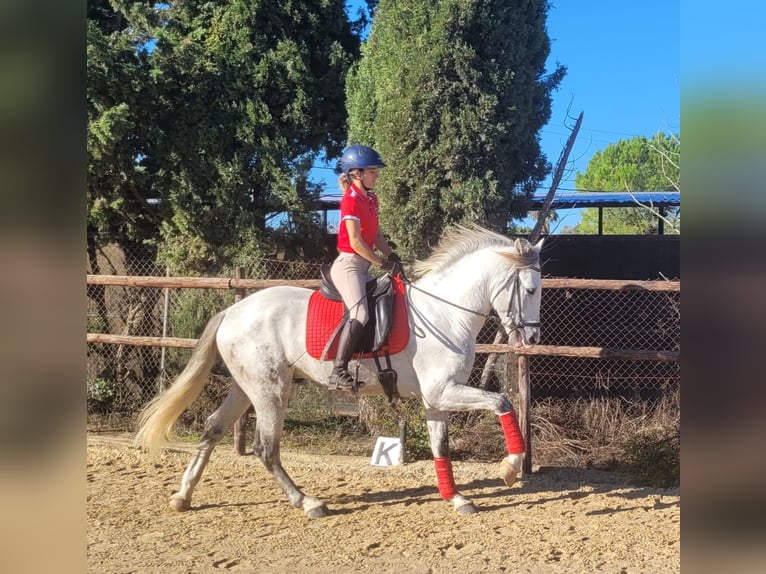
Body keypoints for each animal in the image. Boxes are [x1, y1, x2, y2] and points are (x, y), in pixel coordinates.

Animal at [138, 227, 544, 520]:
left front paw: (456, 497)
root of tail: (232, 312)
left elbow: (440, 446)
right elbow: (503, 402)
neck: (444, 312)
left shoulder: (437, 397)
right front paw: (510, 469)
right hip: (272, 390)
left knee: (214, 428)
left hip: (246, 386)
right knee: (265, 447)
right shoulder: (445, 390)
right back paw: (308, 503)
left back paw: (183, 496)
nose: (532, 337)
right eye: (529, 288)